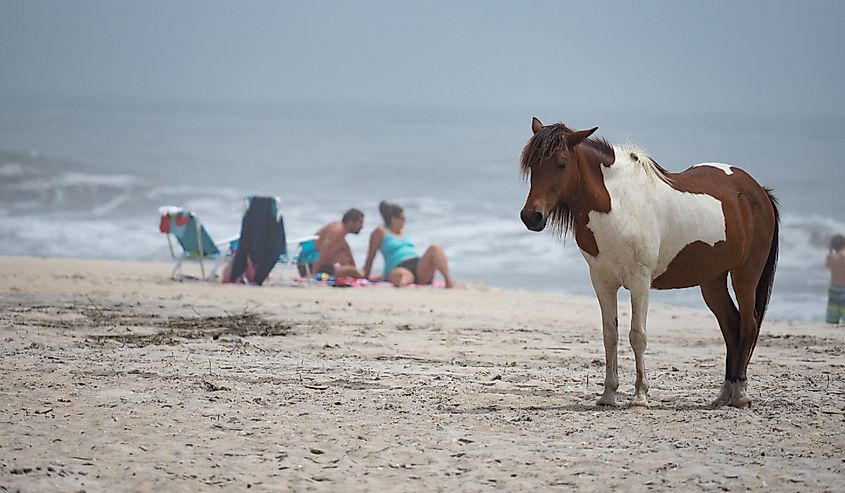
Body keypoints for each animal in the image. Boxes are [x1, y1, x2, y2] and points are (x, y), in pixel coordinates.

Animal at [520, 117, 780, 406]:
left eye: (562, 163)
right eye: (532, 165)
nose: (531, 216)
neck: (618, 205)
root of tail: (758, 192)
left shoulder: (640, 281)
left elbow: (637, 335)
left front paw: (639, 396)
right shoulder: (602, 282)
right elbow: (610, 335)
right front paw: (608, 394)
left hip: (746, 274)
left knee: (748, 323)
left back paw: (741, 395)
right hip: (712, 280)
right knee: (731, 326)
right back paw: (724, 394)